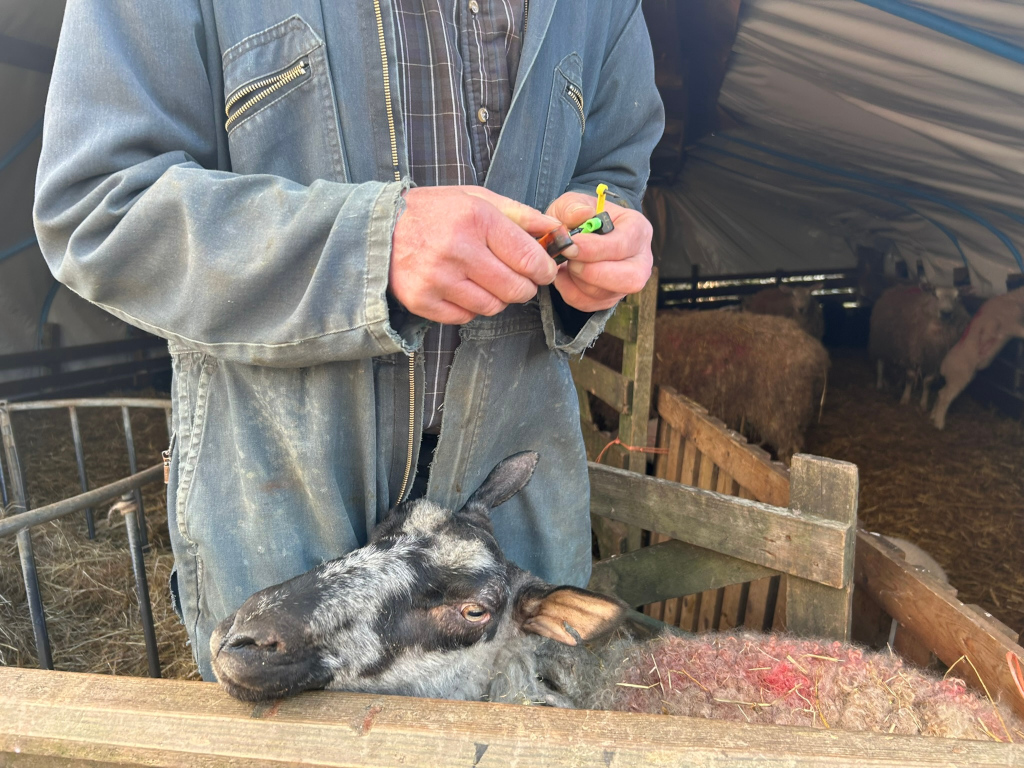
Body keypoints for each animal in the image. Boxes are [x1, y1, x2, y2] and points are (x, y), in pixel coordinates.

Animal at [931, 287, 1024, 430]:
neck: (1015, 299)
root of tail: (943, 366)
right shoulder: (1011, 324)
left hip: (957, 379)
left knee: (941, 392)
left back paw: (933, 415)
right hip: (958, 377)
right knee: (944, 396)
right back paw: (939, 423)